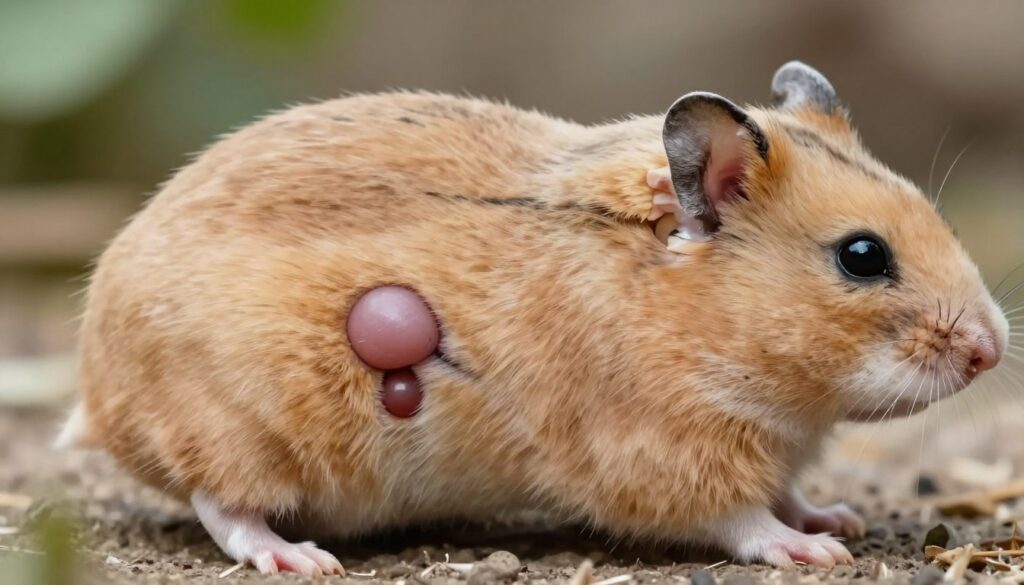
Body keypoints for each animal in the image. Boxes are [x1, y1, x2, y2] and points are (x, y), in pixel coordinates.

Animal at [61, 61, 1008, 574]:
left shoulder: (772, 450)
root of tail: (97, 397)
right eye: (862, 256)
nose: (992, 350)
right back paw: (299, 558)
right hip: (251, 426)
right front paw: (814, 553)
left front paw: (838, 521)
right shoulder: (663, 457)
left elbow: (795, 492)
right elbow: (742, 520)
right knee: (223, 505)